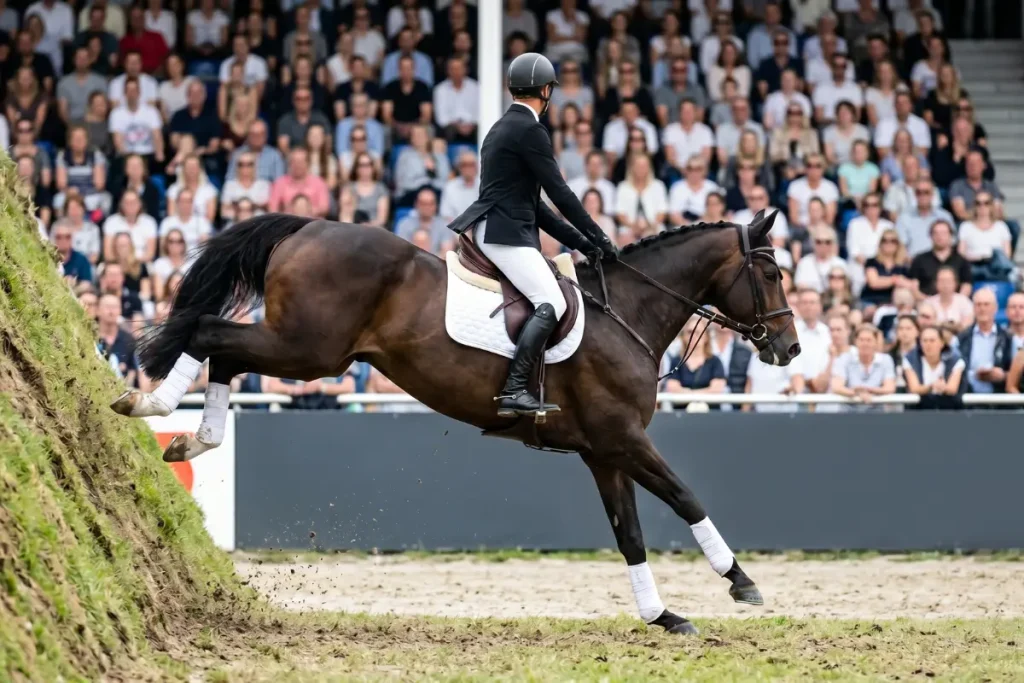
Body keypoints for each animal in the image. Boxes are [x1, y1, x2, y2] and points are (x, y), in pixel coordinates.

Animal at [112, 209, 800, 635]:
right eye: (770, 272)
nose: (789, 349)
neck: (626, 312)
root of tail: (309, 226)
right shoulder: (625, 440)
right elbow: (687, 498)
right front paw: (741, 582)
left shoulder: (604, 451)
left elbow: (629, 534)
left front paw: (662, 616)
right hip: (308, 350)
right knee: (211, 336)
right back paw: (156, 410)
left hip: (304, 350)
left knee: (220, 349)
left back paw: (186, 437)